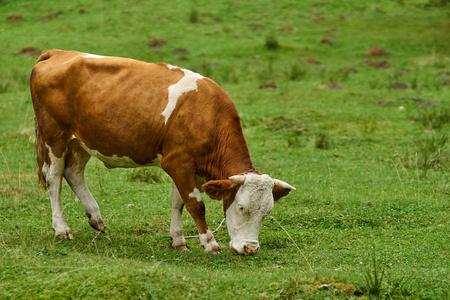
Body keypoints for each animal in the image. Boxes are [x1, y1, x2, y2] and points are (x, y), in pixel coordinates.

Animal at [31, 49, 298, 255]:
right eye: (241, 207)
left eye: (267, 212)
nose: (250, 249)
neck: (206, 115)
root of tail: (58, 52)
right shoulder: (177, 163)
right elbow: (195, 204)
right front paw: (209, 243)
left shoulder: (188, 166)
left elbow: (178, 202)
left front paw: (178, 240)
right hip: (55, 137)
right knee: (54, 179)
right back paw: (62, 229)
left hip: (82, 140)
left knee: (74, 173)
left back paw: (96, 218)